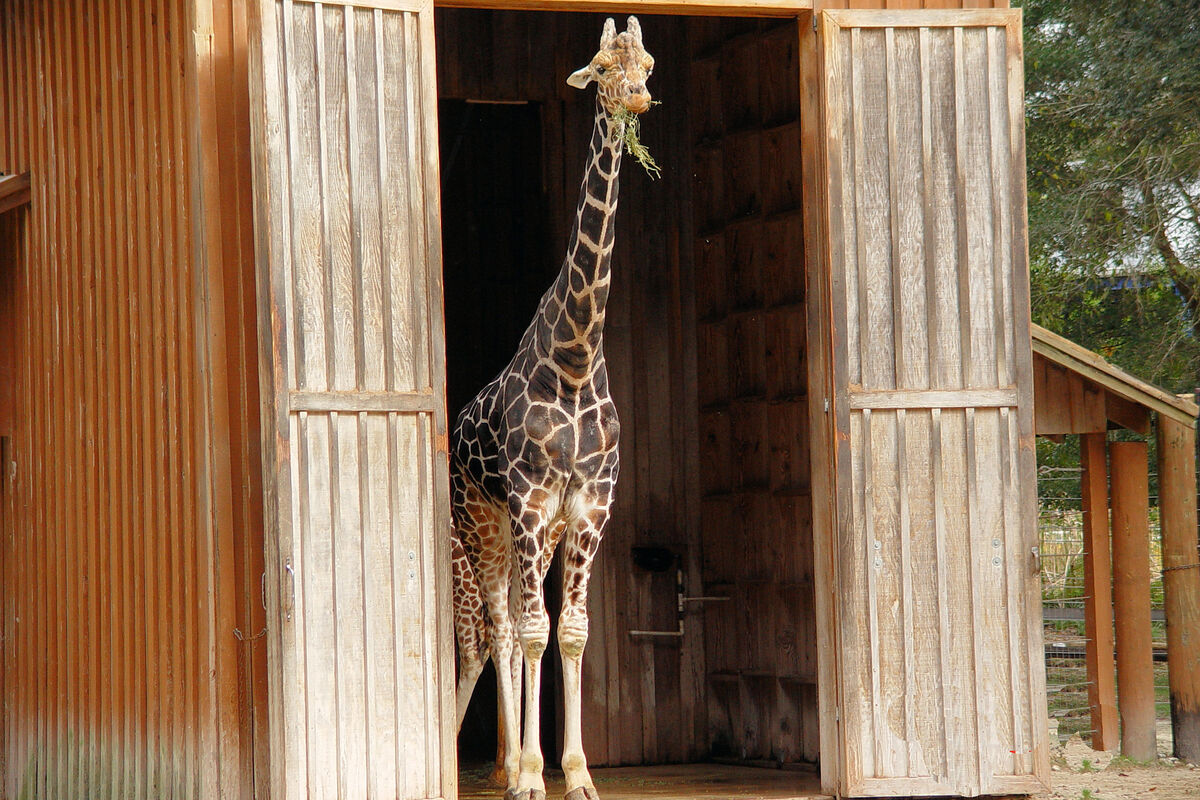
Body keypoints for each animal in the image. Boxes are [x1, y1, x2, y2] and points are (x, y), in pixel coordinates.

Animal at [449, 16, 654, 800]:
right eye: (600, 66)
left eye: (647, 63)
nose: (638, 100)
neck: (573, 355)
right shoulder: (534, 507)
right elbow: (535, 632)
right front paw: (537, 775)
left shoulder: (588, 509)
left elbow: (571, 632)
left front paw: (580, 773)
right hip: (484, 524)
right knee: (500, 629)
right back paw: (510, 767)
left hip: (520, 533)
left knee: (510, 624)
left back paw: (512, 762)